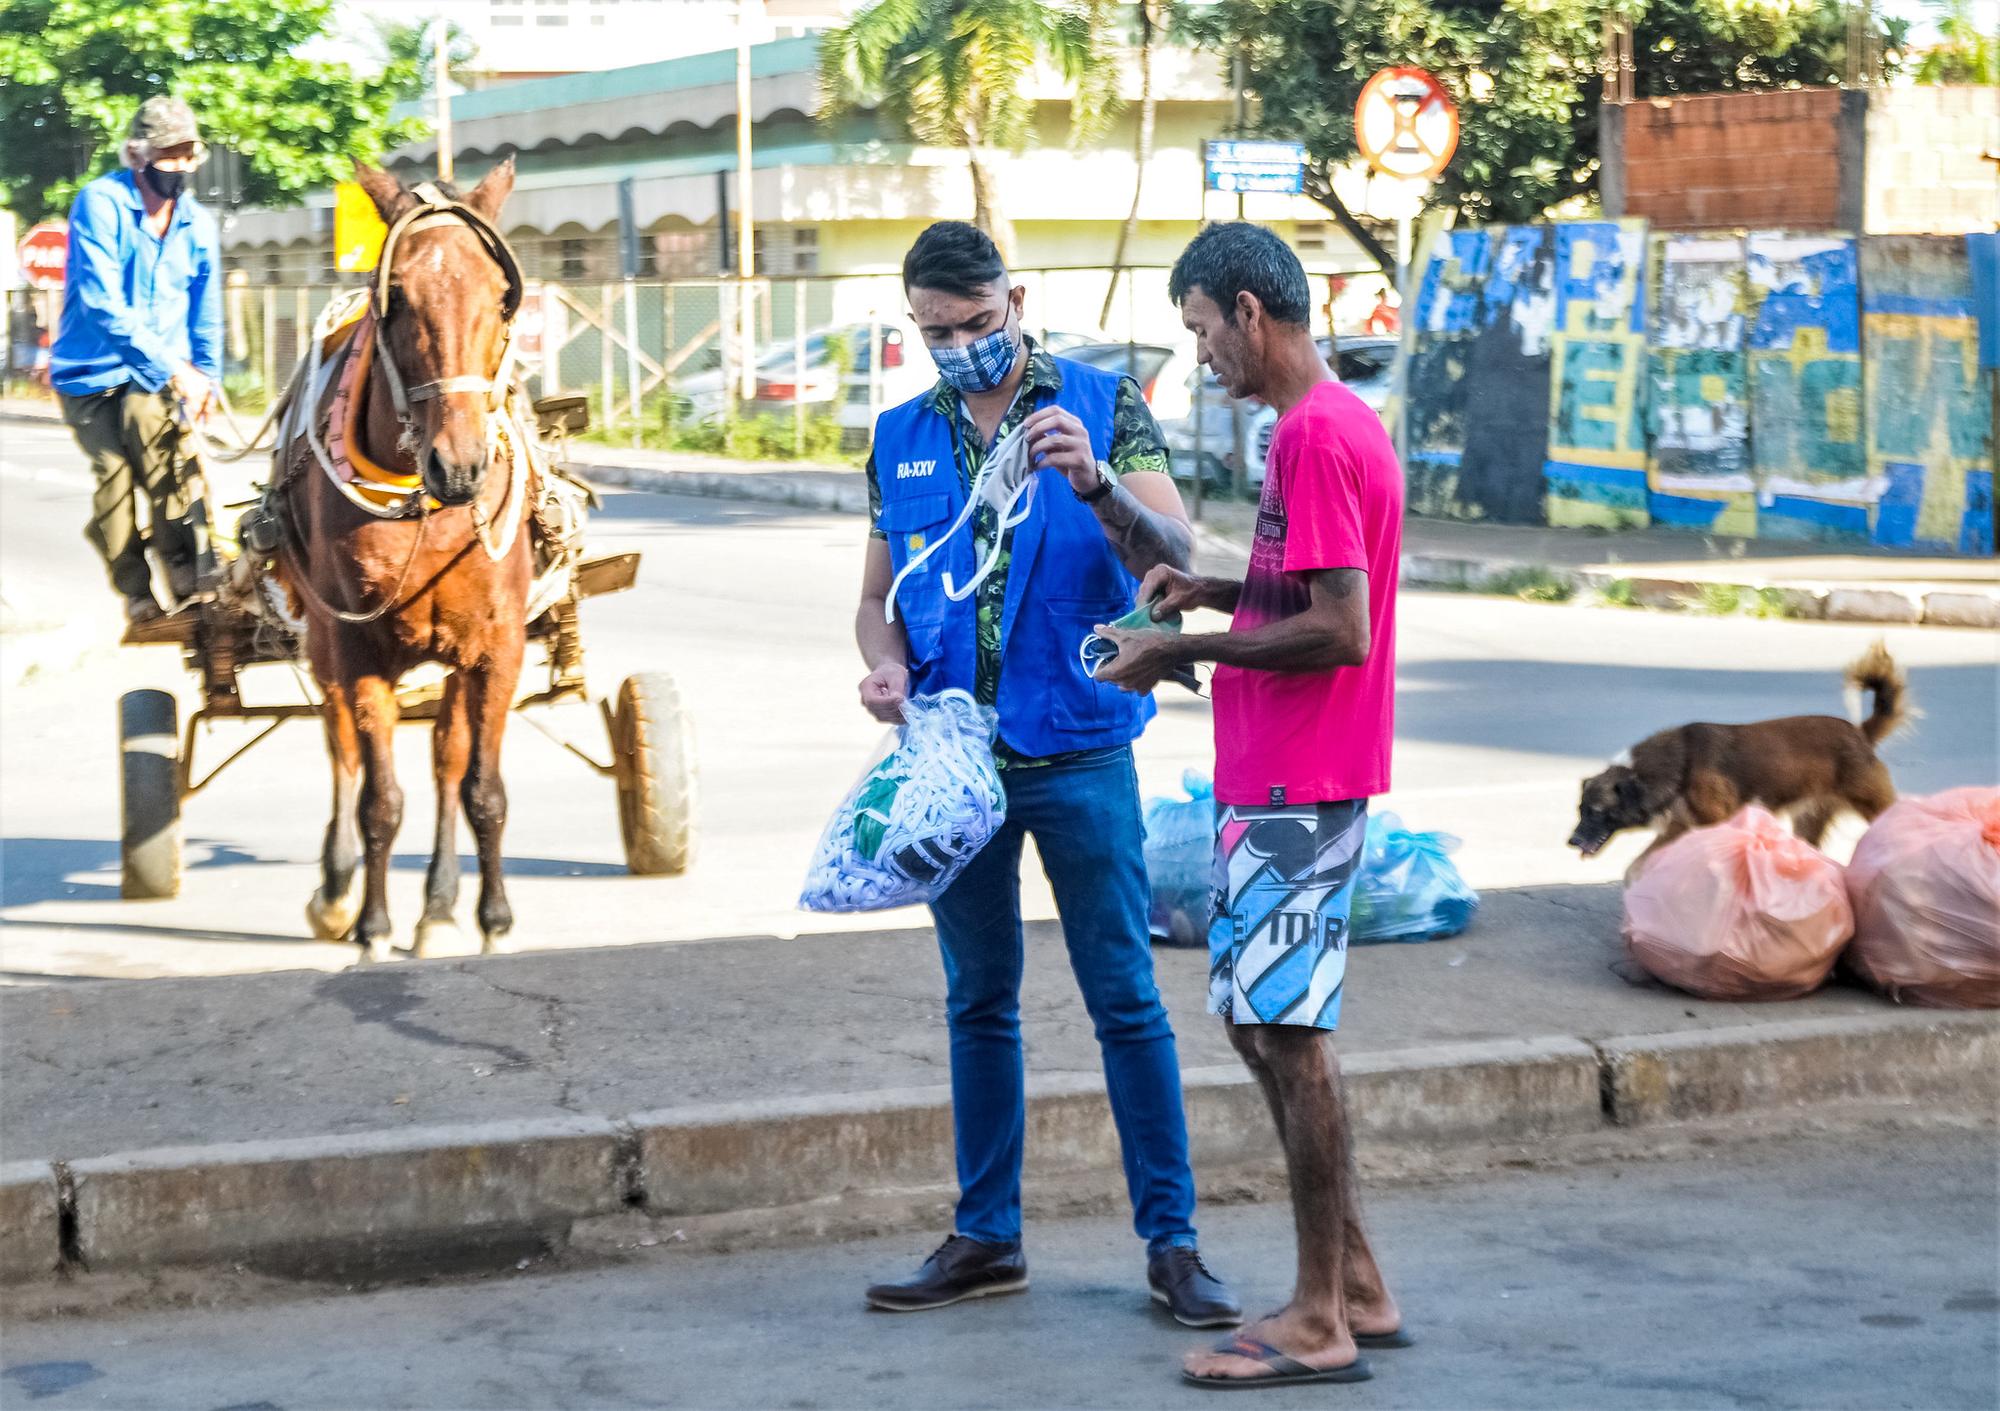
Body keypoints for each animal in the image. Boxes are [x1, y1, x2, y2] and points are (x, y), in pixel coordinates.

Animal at [280, 161, 540, 955]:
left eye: (500, 293)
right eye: (395, 299)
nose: (461, 466)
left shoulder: (497, 645)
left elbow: (482, 788)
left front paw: (490, 920)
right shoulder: (357, 646)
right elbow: (379, 799)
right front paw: (370, 926)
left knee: (448, 756)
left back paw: (439, 906)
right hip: (321, 636)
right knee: (341, 741)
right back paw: (338, 891)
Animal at [1568, 639, 1912, 867]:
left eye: (1596, 811)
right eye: (1580, 810)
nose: (1571, 841)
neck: (1678, 765)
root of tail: (1860, 733)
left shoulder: (1714, 823)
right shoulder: (1680, 828)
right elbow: (1635, 867)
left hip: (1873, 804)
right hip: (1810, 819)